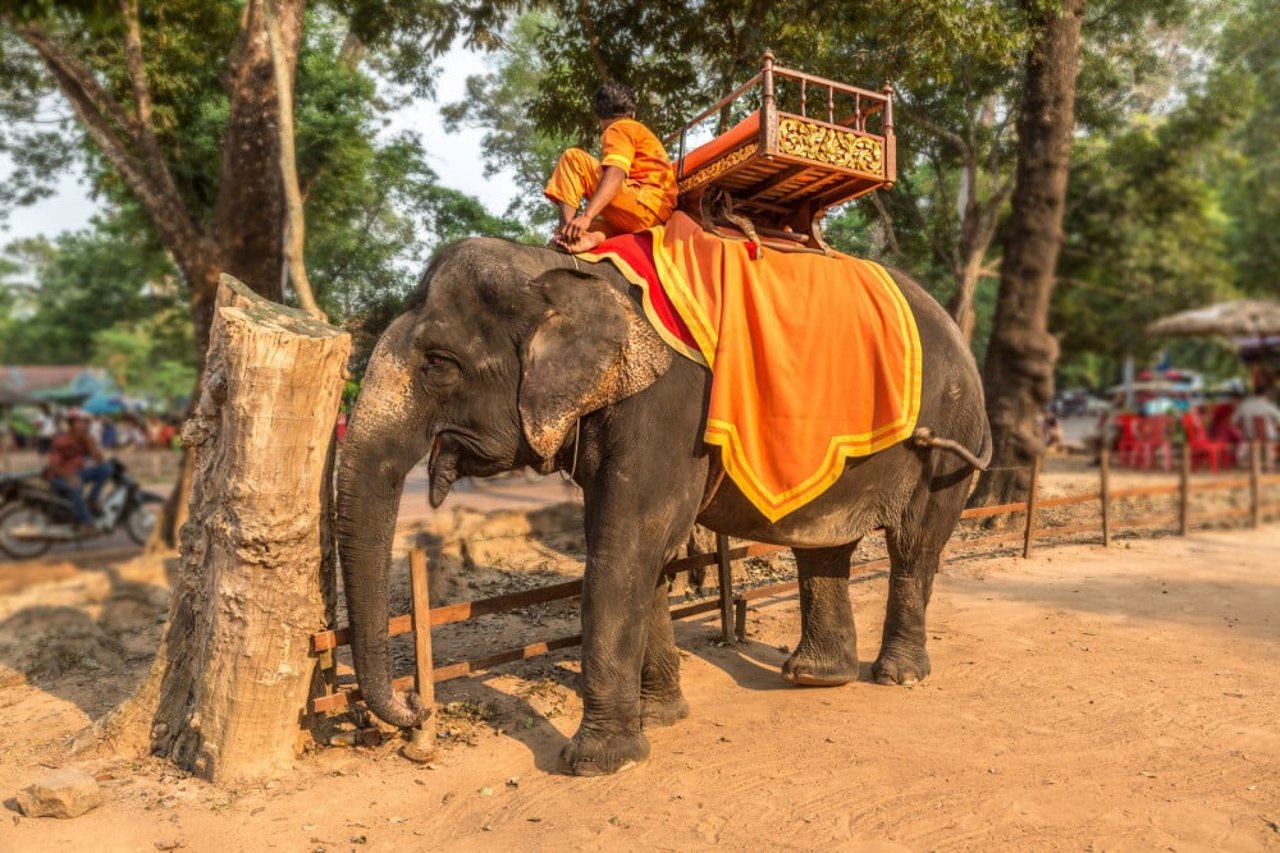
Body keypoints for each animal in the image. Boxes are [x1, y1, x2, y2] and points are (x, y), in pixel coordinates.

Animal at [337, 235, 988, 773]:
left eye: (438, 363)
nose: (419, 710)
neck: (563, 270)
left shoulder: (670, 409)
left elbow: (630, 541)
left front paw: (598, 763)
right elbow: (635, 548)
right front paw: (659, 719)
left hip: (950, 435)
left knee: (914, 547)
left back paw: (897, 676)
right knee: (823, 547)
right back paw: (815, 677)